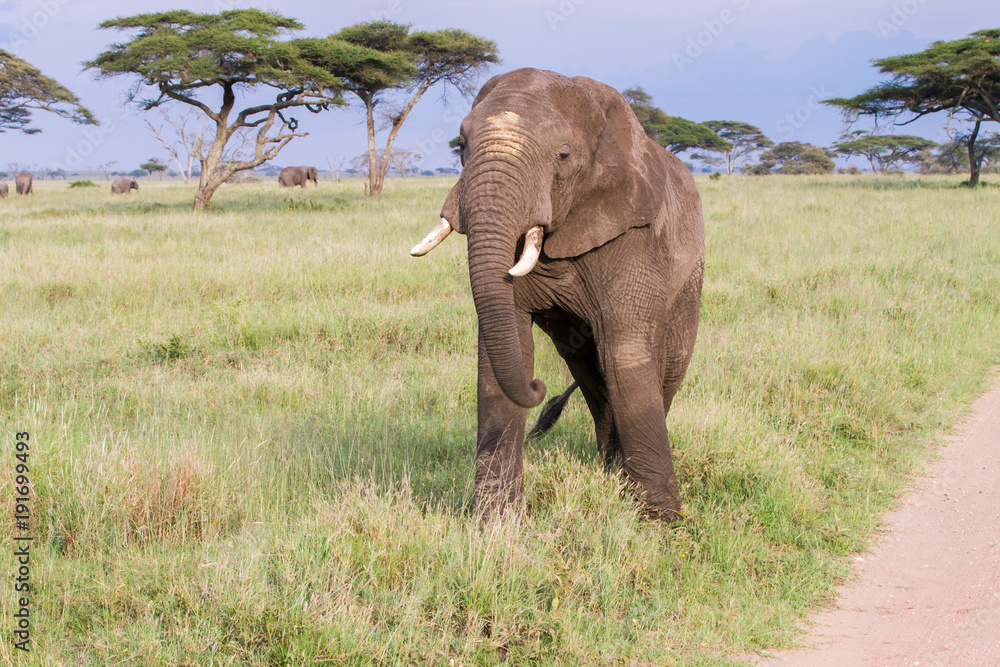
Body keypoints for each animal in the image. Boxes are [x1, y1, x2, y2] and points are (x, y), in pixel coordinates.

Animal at [411, 68, 704, 522]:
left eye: (563, 155)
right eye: (461, 145)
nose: (538, 386)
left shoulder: (637, 237)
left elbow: (627, 352)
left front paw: (662, 524)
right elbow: (504, 346)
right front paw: (495, 522)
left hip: (689, 280)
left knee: (660, 370)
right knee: (593, 377)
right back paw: (611, 470)